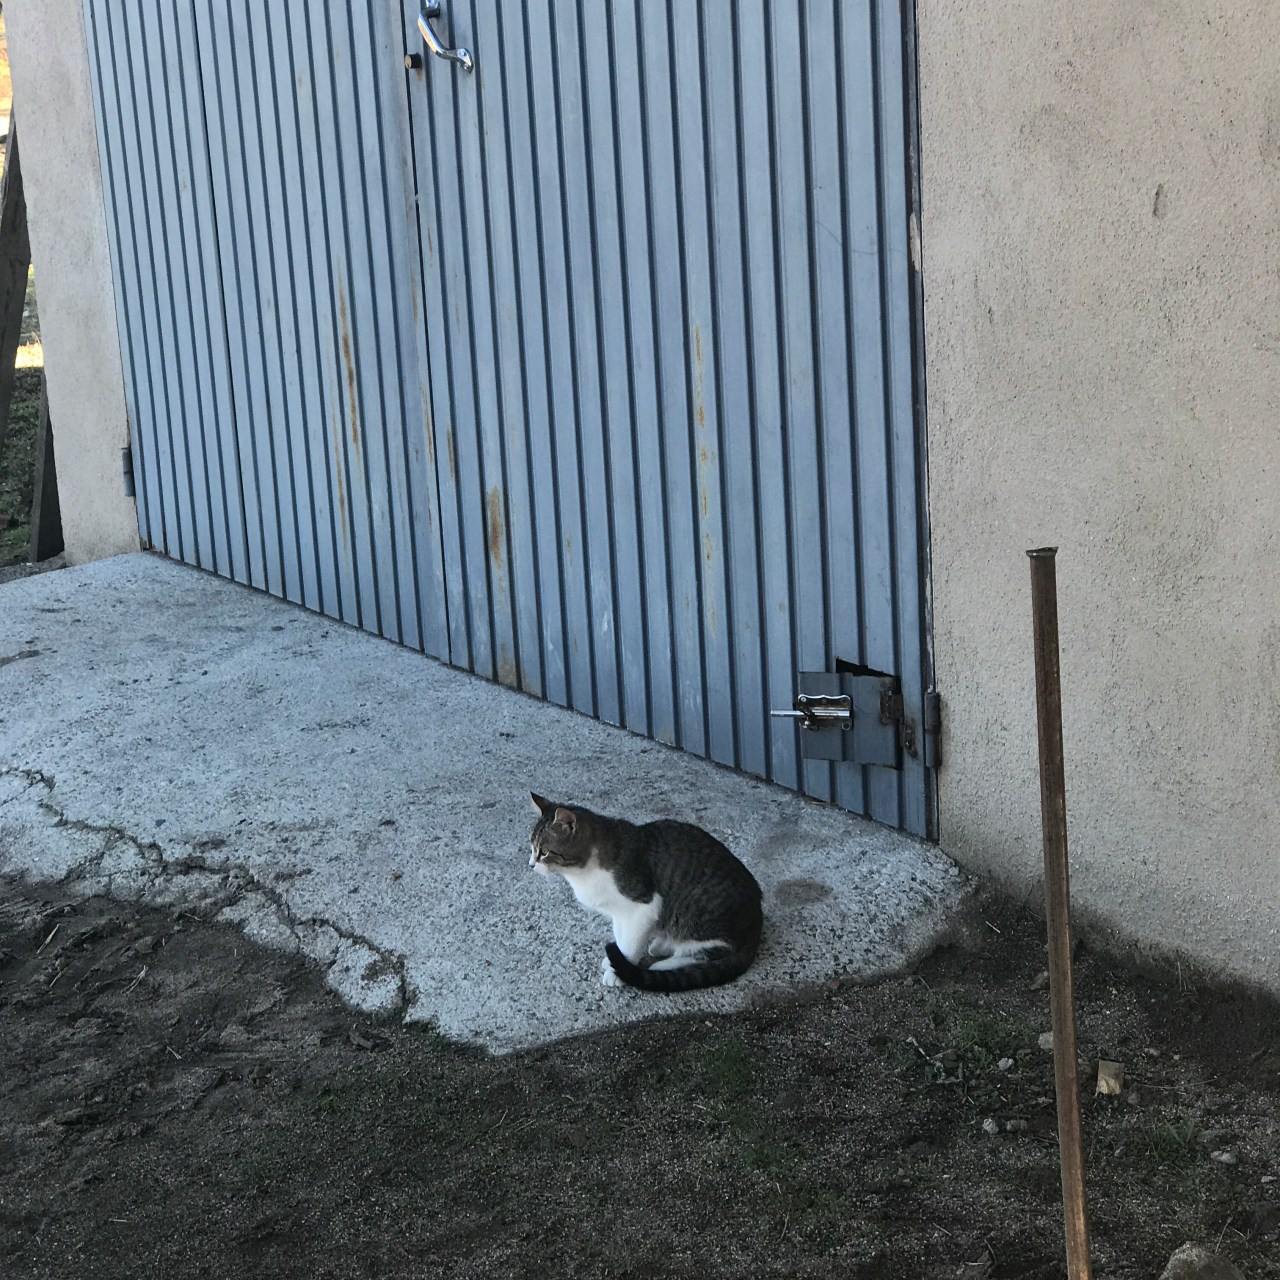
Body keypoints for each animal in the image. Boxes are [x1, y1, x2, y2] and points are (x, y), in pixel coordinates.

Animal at [528, 793, 763, 993]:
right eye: (532, 846)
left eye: (544, 852)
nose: (531, 864)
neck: (584, 872)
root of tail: (757, 918)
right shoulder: (619, 911)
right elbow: (621, 936)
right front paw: (615, 959)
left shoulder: (642, 906)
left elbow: (631, 943)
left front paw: (619, 971)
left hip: (698, 915)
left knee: (712, 952)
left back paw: (664, 965)